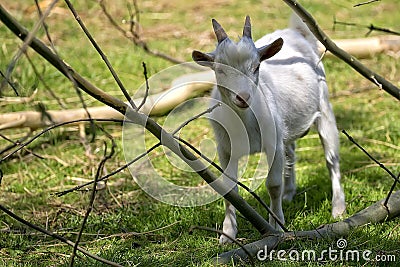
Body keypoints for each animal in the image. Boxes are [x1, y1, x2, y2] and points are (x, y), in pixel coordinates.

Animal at [192, 15, 346, 245]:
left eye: (256, 67)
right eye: (220, 70)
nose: (243, 97)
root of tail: (293, 32)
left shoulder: (273, 144)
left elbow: (273, 185)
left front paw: (277, 226)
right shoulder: (225, 149)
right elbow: (229, 189)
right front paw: (228, 234)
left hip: (324, 107)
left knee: (331, 159)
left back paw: (338, 208)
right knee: (291, 151)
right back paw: (289, 193)